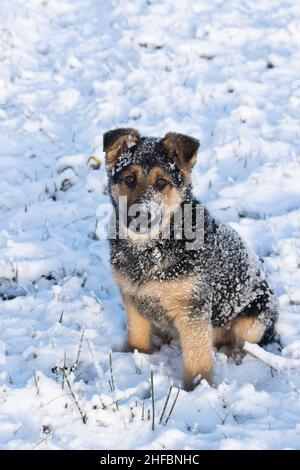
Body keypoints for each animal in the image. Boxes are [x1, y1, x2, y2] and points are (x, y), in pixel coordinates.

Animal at [104, 127, 278, 390]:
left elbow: (197, 359)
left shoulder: (193, 310)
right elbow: (137, 337)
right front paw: (135, 358)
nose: (141, 216)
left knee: (244, 344)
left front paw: (197, 389)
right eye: (129, 179)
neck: (153, 248)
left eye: (161, 182)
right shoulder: (131, 298)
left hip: (255, 318)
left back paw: (234, 357)